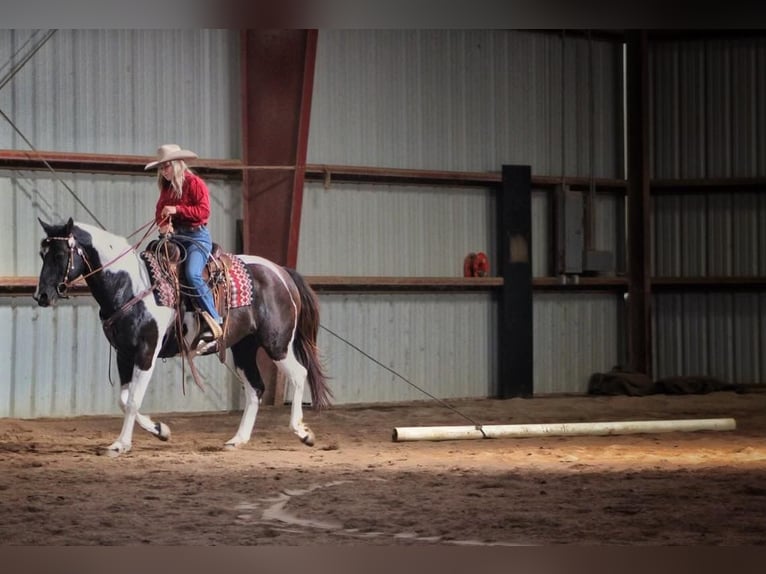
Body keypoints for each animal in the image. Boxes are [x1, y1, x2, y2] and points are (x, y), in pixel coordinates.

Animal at [33, 217, 331, 457]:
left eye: (60, 254)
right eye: (42, 253)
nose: (42, 295)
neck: (131, 286)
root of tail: (281, 272)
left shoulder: (146, 352)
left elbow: (133, 401)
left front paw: (120, 444)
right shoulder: (124, 353)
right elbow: (124, 399)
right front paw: (160, 429)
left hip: (277, 342)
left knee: (299, 374)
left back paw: (303, 432)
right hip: (243, 347)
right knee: (256, 388)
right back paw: (237, 439)